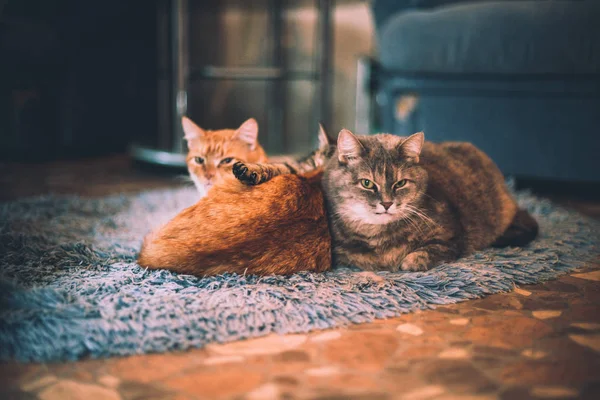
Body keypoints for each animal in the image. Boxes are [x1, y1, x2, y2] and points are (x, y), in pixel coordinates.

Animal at [232, 130, 536, 270]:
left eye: (400, 183)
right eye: (368, 183)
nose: (387, 203)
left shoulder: (452, 234)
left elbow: (425, 252)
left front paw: (408, 260)